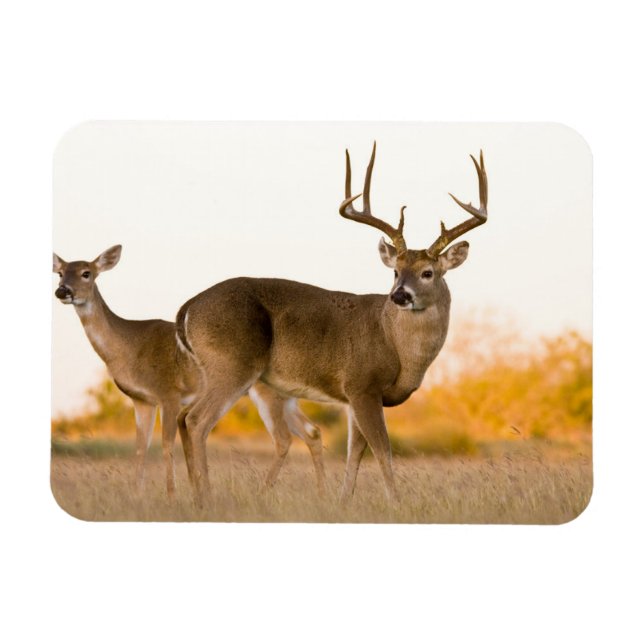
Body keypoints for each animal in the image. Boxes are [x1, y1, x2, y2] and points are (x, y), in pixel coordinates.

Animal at [52, 246, 326, 497]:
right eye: (60, 273)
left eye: (87, 272)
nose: (63, 291)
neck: (128, 346)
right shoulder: (141, 400)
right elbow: (140, 448)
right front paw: (137, 496)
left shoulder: (168, 393)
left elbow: (166, 444)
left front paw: (171, 495)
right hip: (285, 396)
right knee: (311, 431)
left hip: (264, 393)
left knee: (284, 438)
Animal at [175, 142, 488, 505]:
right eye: (395, 271)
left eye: (427, 272)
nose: (399, 295)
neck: (396, 345)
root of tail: (187, 308)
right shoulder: (362, 384)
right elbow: (382, 450)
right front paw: (395, 503)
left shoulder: (353, 397)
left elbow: (356, 453)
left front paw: (342, 502)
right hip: (233, 365)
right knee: (197, 420)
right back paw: (206, 497)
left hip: (216, 371)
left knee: (183, 417)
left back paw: (192, 494)